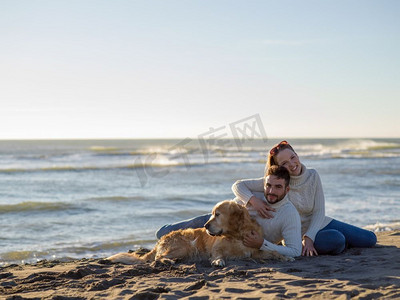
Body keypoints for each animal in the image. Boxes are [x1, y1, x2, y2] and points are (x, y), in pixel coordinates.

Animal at [107, 199, 290, 268]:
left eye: (217, 214)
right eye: (212, 214)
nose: (205, 225)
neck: (237, 234)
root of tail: (161, 241)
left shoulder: (253, 251)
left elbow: (271, 252)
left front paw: (284, 257)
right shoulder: (216, 247)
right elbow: (218, 254)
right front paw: (218, 261)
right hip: (185, 246)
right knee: (158, 257)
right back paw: (168, 261)